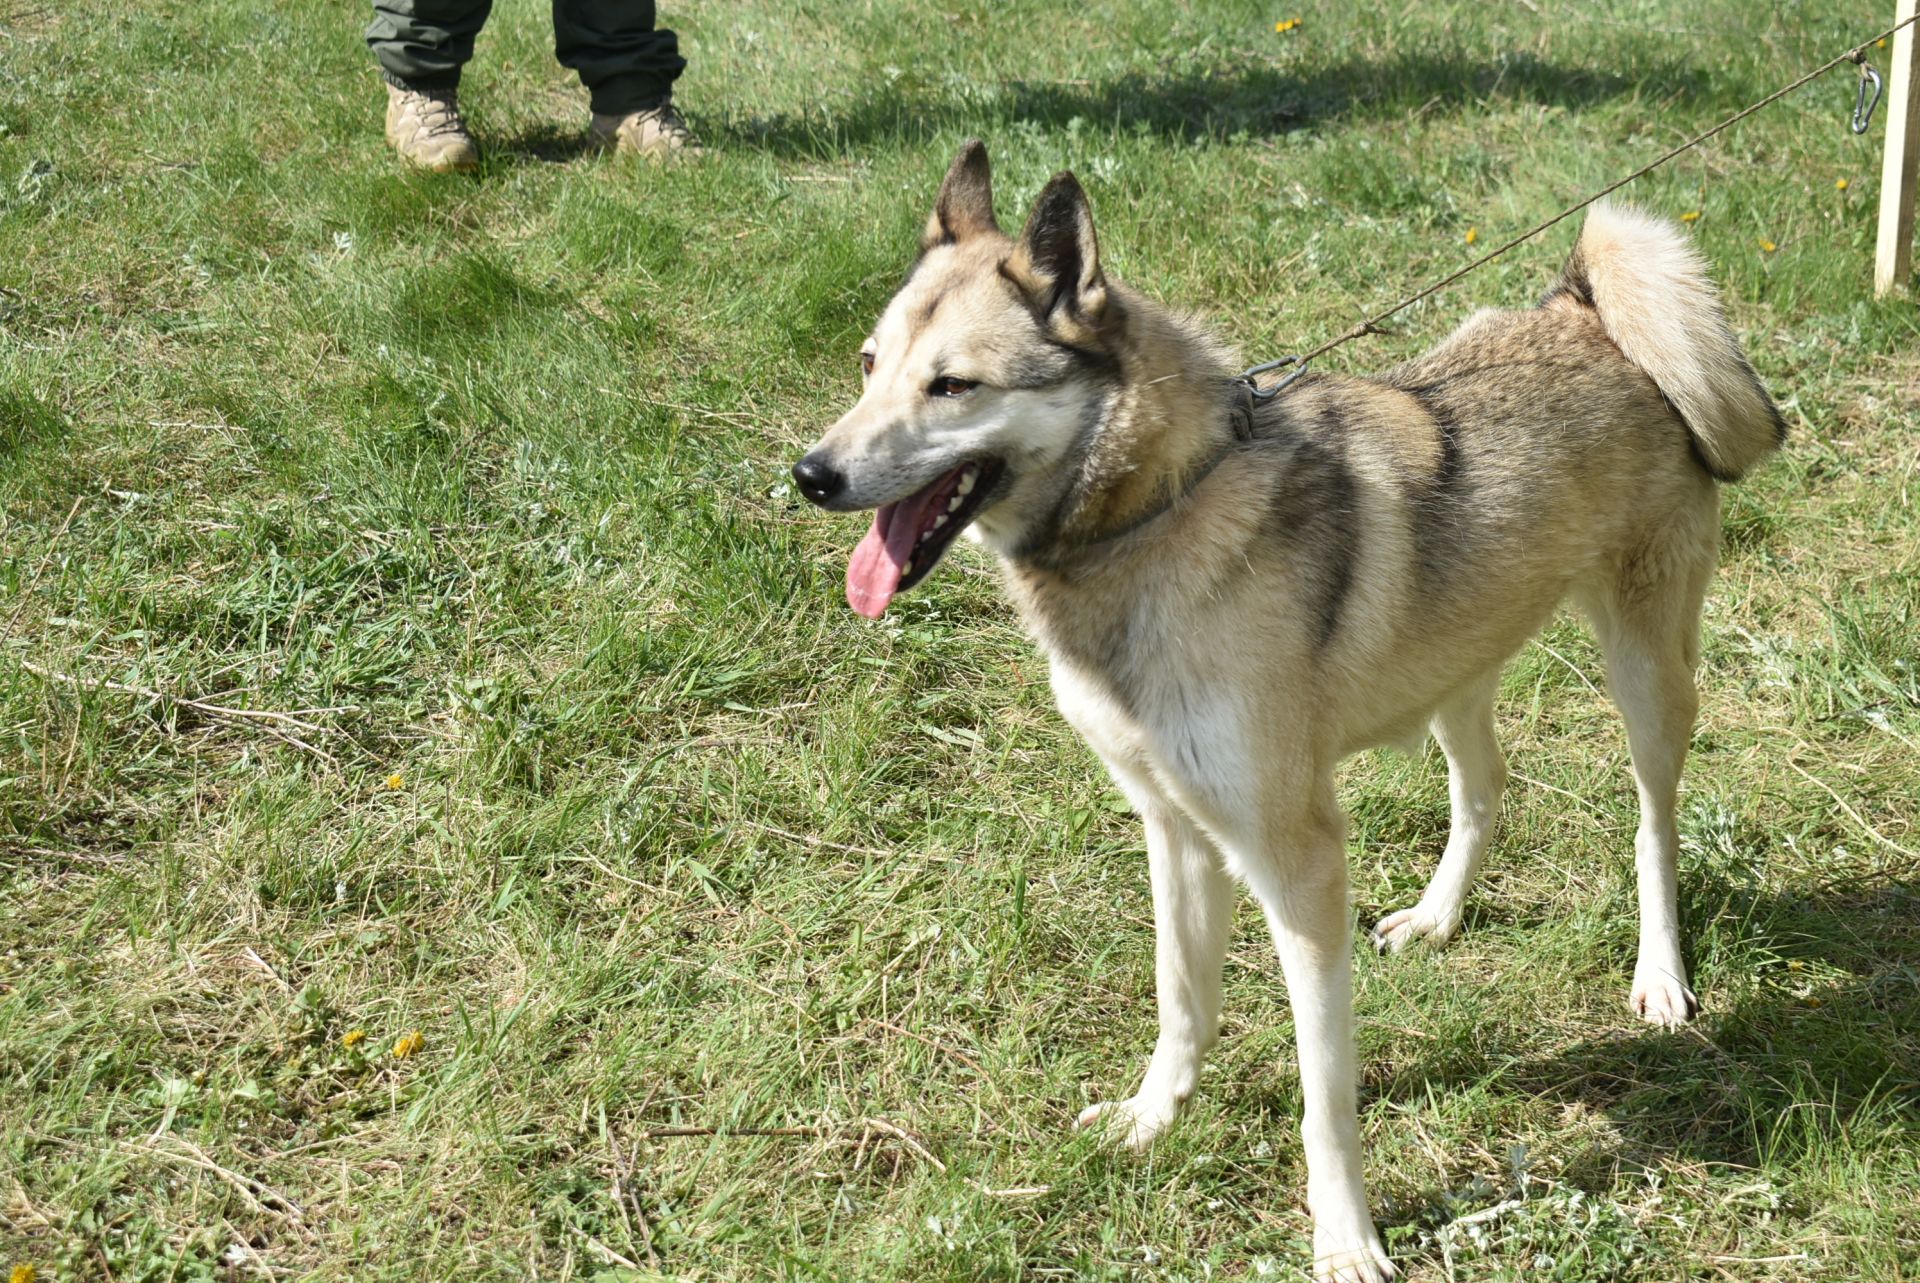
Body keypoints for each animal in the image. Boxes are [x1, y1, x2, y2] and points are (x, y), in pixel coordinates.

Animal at [787, 143, 1774, 1283]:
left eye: (953, 386)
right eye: (868, 365)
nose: (811, 475)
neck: (1157, 507)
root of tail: (1586, 311)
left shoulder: (1296, 860)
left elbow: (1323, 1090)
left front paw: (1345, 1235)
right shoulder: (1175, 829)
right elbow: (1181, 997)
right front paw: (1152, 1116)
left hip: (1648, 677)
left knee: (1652, 825)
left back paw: (1659, 974)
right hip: (1452, 669)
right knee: (1485, 786)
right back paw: (1438, 915)